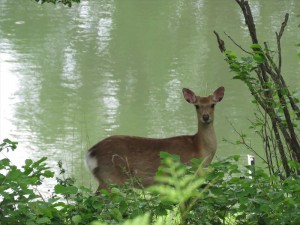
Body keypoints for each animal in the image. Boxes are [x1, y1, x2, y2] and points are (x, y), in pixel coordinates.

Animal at [85, 87, 224, 191]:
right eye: (197, 106)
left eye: (212, 105)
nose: (205, 117)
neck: (200, 149)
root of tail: (90, 153)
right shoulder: (185, 175)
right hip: (111, 178)